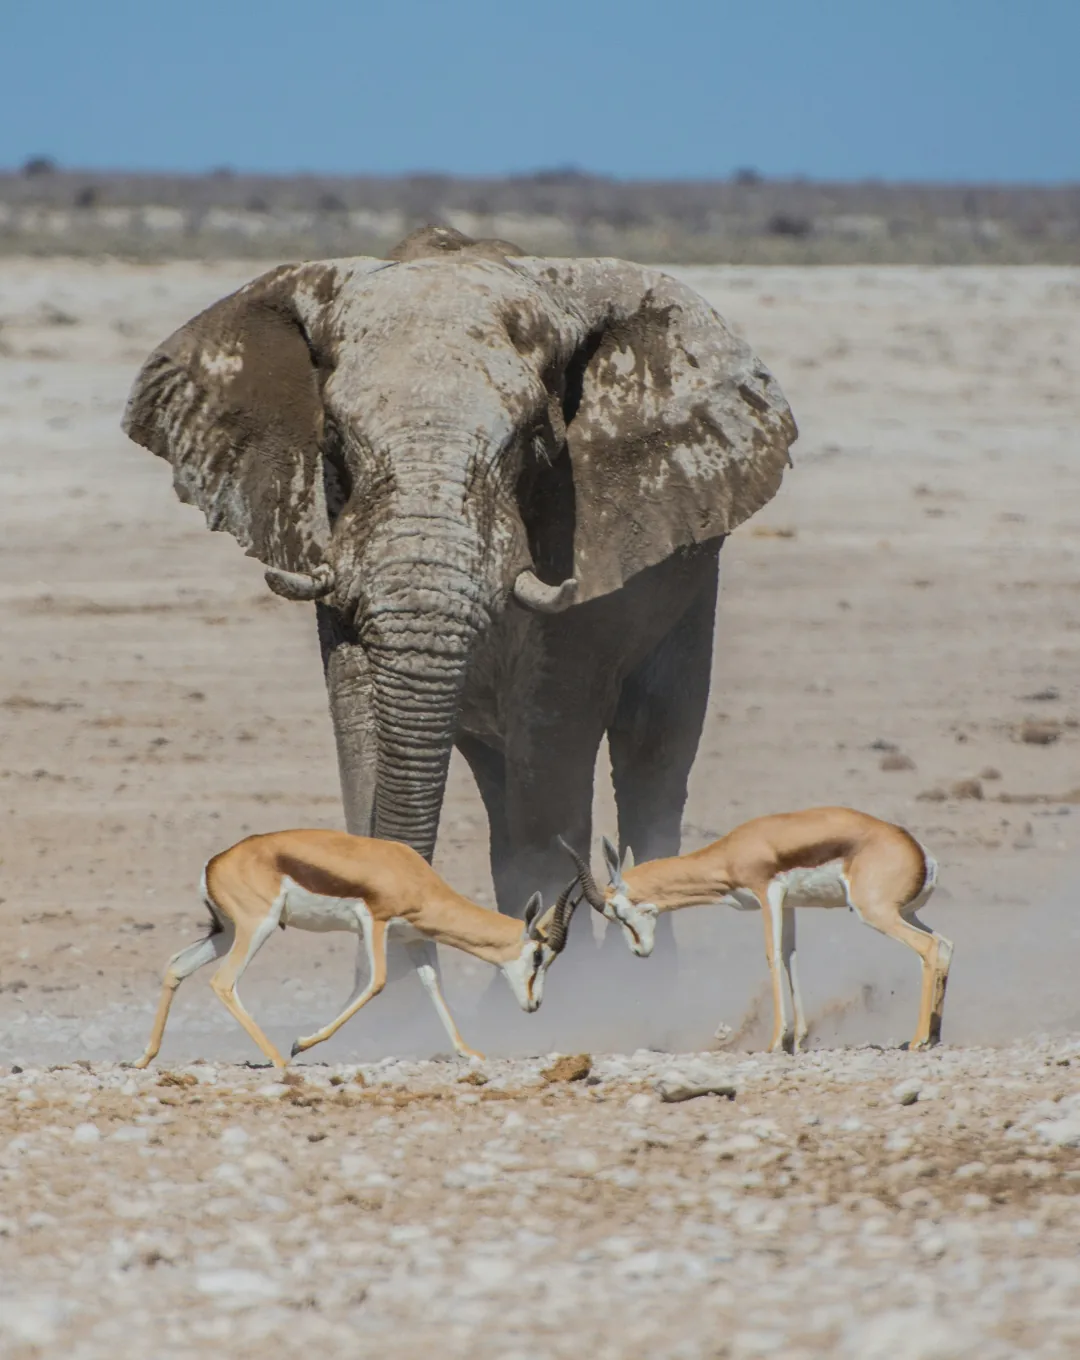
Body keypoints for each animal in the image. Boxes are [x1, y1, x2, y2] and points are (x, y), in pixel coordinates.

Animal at [122, 225, 797, 990]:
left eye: (536, 440)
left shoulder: (579, 535)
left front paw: (577, 1003)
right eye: (334, 441)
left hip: (690, 591)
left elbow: (553, 743)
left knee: (650, 759)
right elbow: (360, 725)